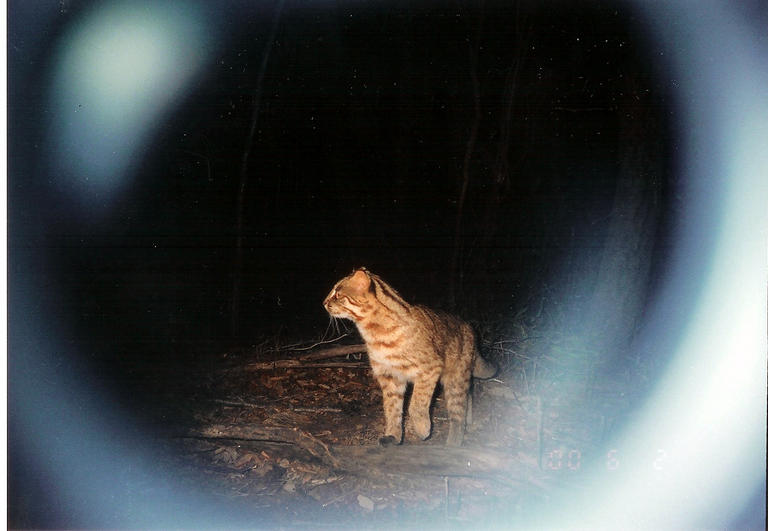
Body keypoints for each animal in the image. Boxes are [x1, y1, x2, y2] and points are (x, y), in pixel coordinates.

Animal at [320, 268, 496, 446]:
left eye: (338, 294)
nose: (324, 302)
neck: (374, 334)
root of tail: (469, 327)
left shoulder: (429, 370)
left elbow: (416, 403)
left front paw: (422, 428)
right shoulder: (389, 376)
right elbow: (392, 409)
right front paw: (393, 435)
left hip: (455, 379)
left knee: (458, 410)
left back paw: (454, 441)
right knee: (469, 395)